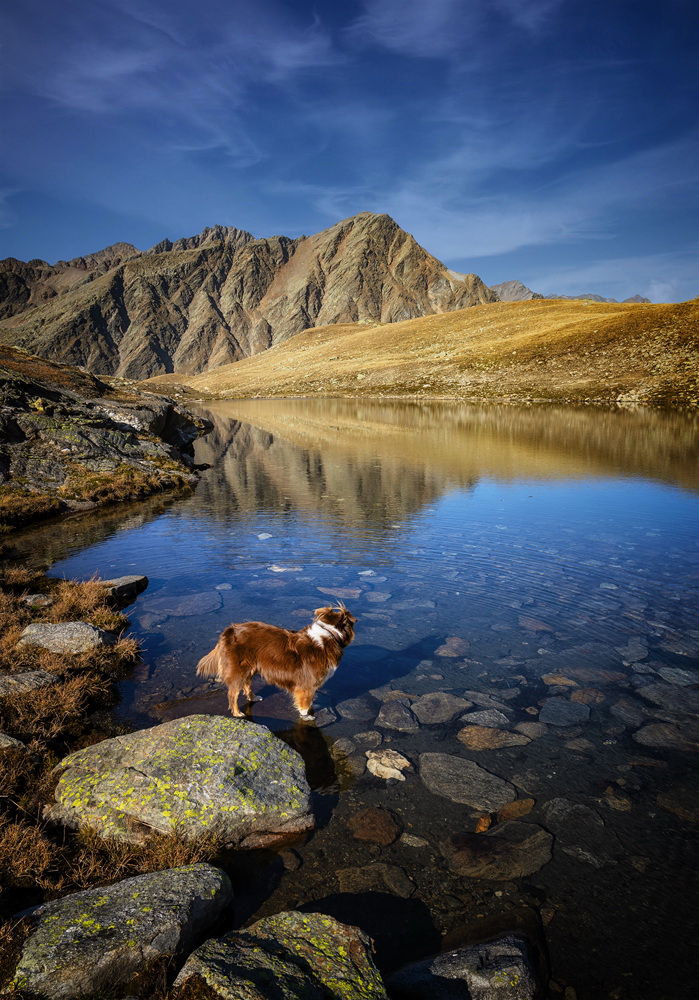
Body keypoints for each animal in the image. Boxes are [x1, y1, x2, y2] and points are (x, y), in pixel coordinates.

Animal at [196, 600, 356, 720]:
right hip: (238, 670)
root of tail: (230, 630)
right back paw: (237, 713)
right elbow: (304, 704)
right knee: (233, 693)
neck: (329, 635)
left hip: (251, 667)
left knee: (246, 685)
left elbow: (309, 701)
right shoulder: (307, 684)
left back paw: (253, 697)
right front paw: (307, 716)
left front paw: (313, 706)